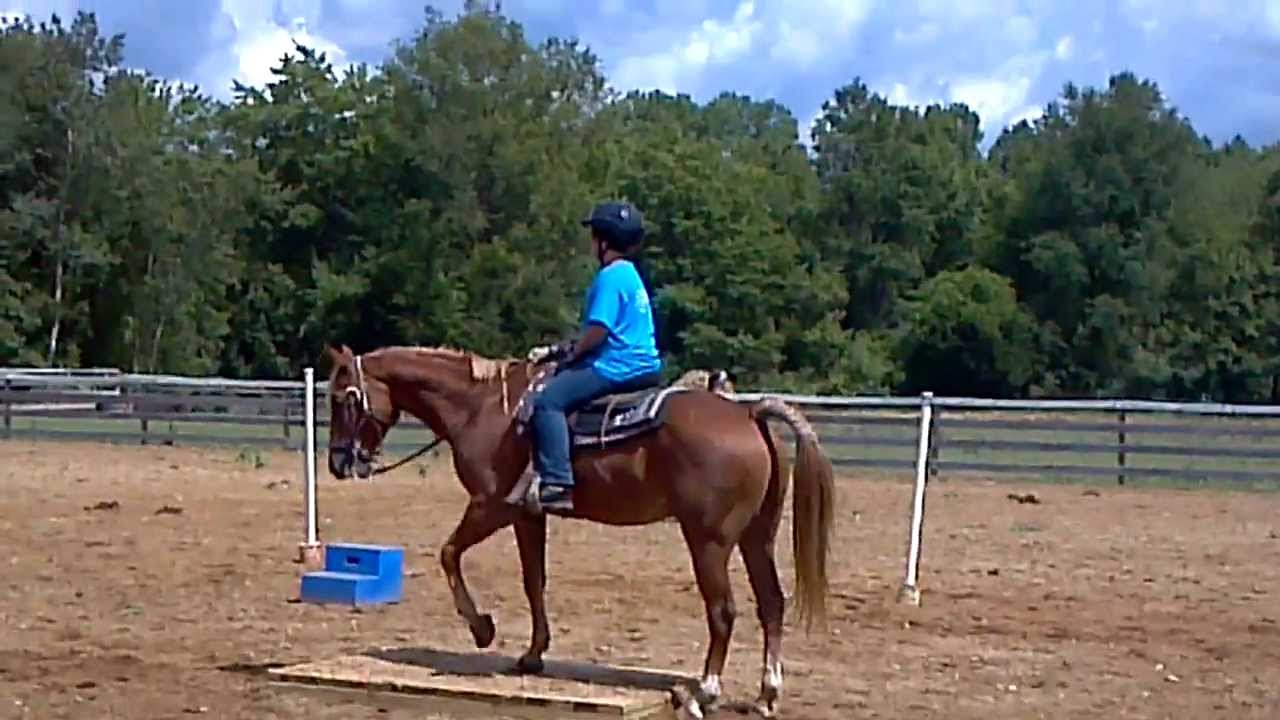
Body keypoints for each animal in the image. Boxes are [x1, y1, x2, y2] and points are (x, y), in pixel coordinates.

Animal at [322, 343, 835, 718]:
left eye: (342, 397)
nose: (338, 463)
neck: (484, 410)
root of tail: (748, 415)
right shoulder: (528, 515)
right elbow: (534, 581)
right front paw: (532, 655)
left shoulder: (491, 507)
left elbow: (450, 553)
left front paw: (482, 629)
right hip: (755, 538)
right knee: (772, 603)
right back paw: (766, 693)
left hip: (708, 541)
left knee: (723, 611)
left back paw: (703, 691)